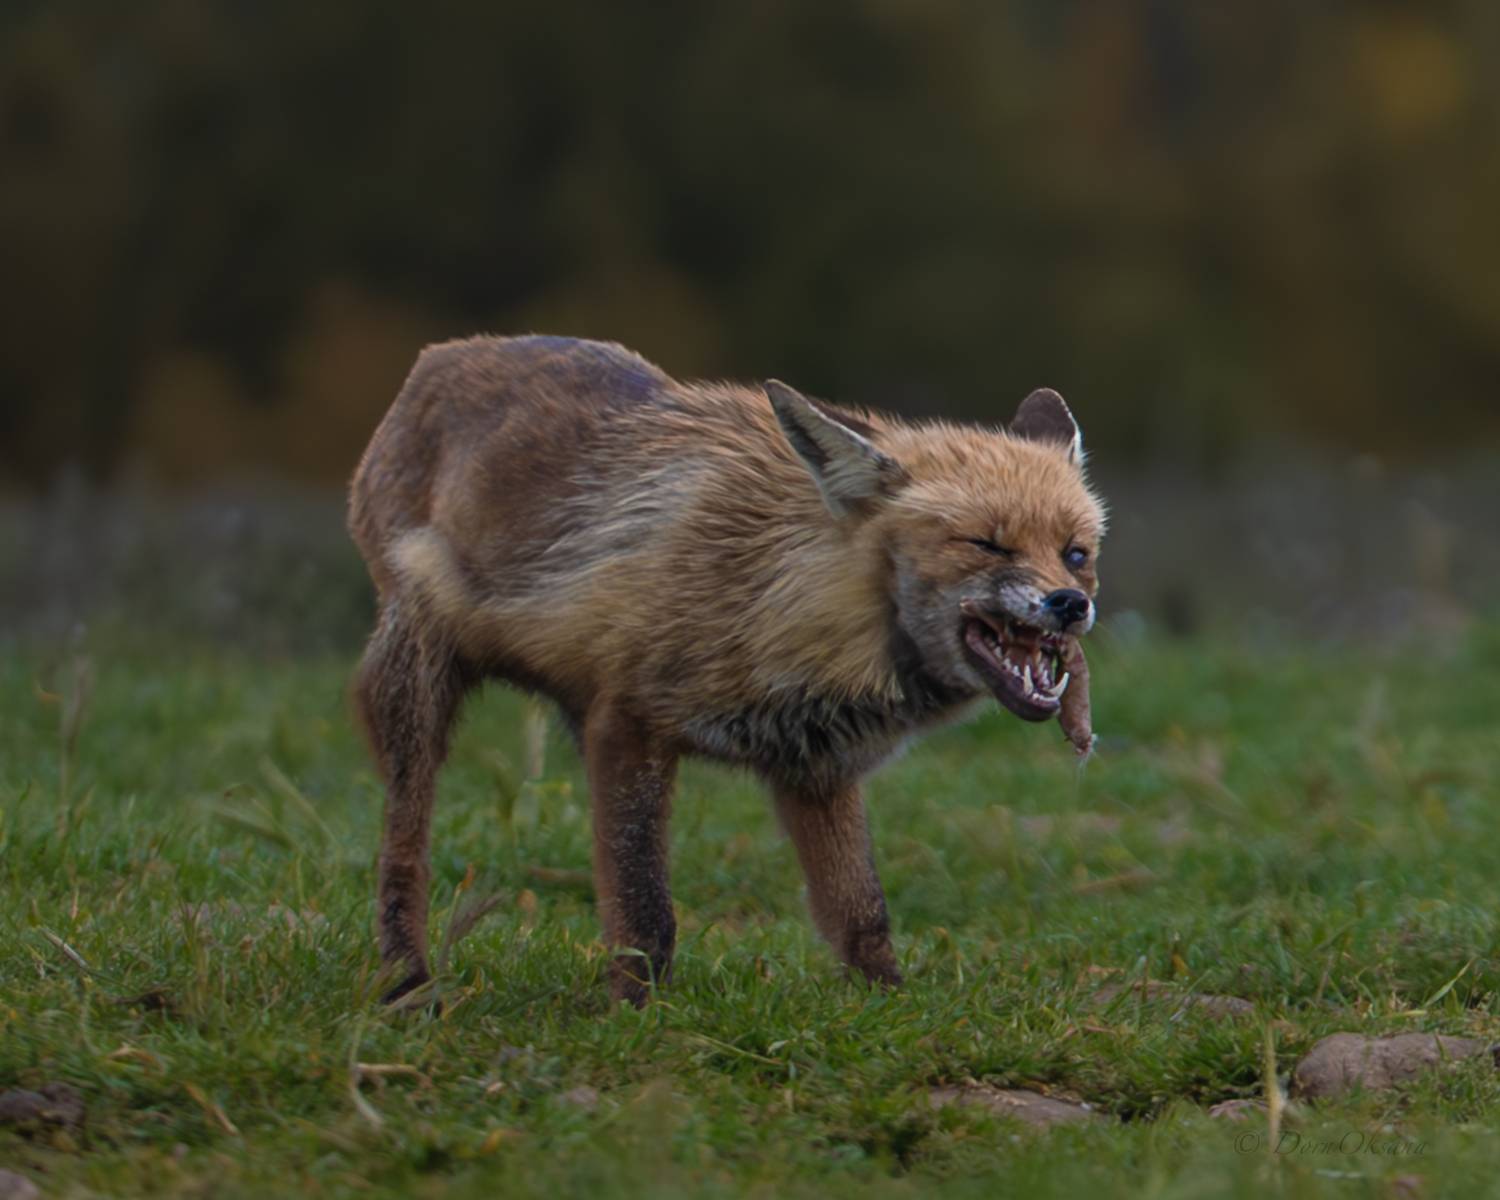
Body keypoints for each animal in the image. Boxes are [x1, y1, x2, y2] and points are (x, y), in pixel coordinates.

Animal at [348, 335, 1106, 1006]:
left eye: (1075, 553)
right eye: (986, 544)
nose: (1070, 604)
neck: (777, 590)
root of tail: (441, 355)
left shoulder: (817, 767)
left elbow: (862, 913)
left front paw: (888, 1010)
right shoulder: (625, 725)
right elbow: (645, 910)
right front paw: (636, 1017)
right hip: (416, 691)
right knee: (402, 854)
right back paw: (406, 986)